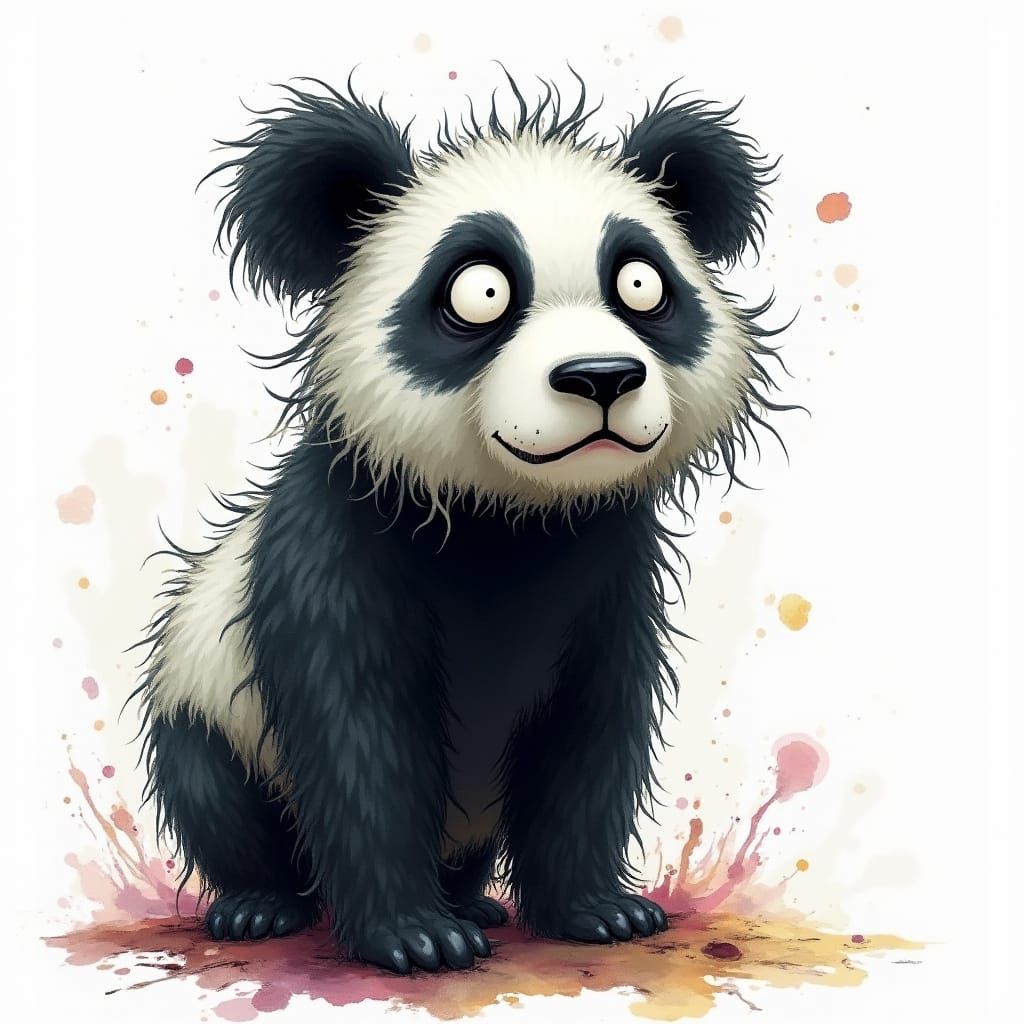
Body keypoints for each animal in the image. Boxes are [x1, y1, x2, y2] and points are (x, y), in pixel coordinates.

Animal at [132, 70, 791, 975]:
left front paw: (598, 911)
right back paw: (263, 905)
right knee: (219, 801)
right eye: (480, 291)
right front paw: (413, 936)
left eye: (642, 285)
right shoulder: (336, 552)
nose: (601, 377)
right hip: (203, 701)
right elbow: (359, 738)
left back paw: (472, 895)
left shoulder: (608, 570)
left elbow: (589, 732)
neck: (508, 517)